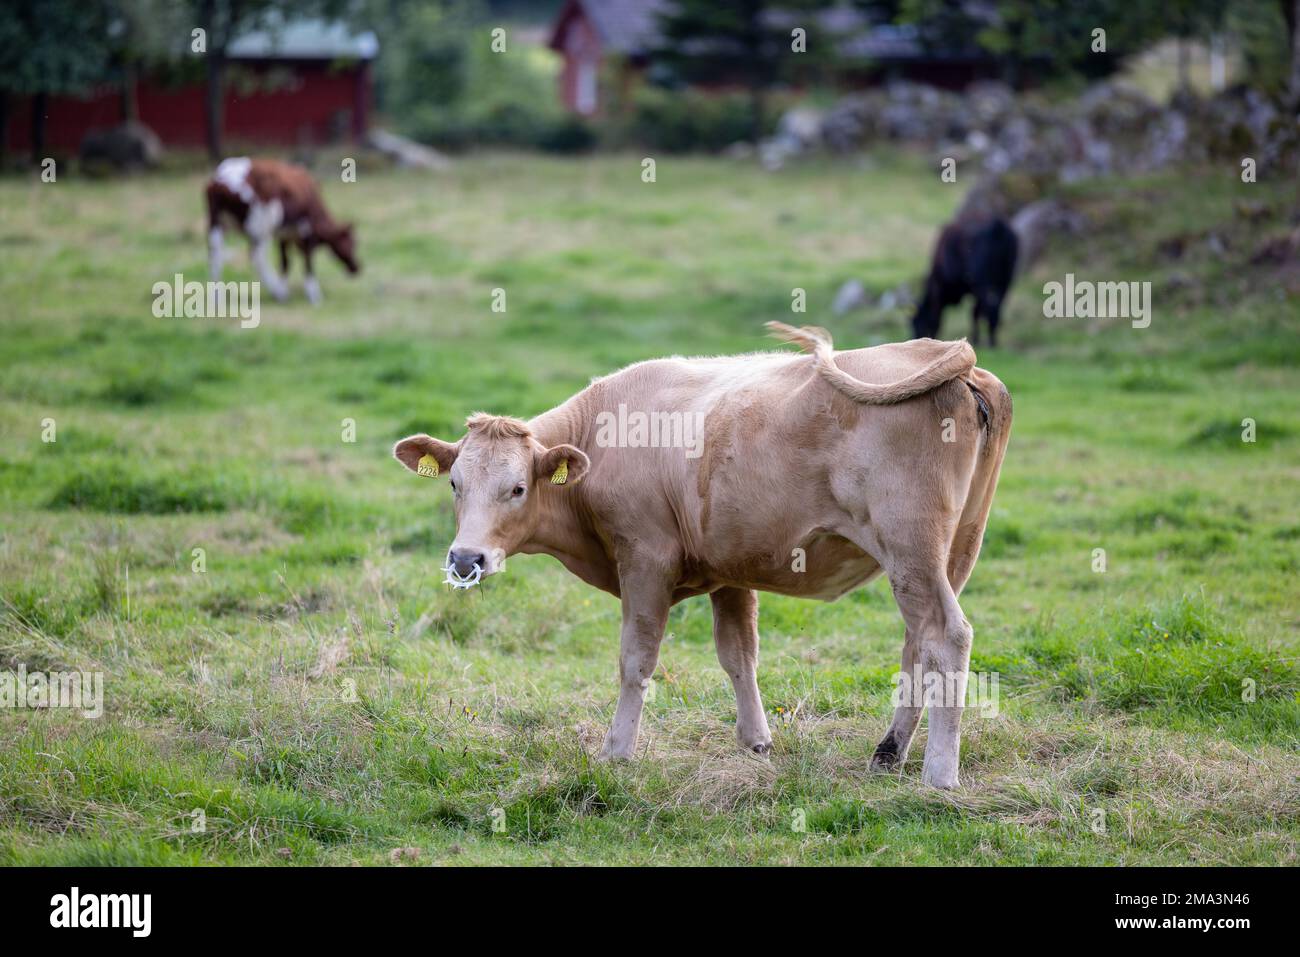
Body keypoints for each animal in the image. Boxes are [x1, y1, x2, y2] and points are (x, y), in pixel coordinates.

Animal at [205, 157, 359, 304]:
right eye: (352, 243)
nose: (357, 267)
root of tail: (219, 181)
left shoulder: (284, 234)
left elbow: (285, 262)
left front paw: (285, 286)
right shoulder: (306, 231)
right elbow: (308, 261)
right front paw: (314, 294)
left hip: (217, 223)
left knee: (215, 254)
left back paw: (217, 297)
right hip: (261, 227)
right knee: (257, 258)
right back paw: (278, 292)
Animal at [393, 323, 1011, 788]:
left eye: (518, 488)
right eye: (454, 484)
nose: (466, 559)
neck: (602, 433)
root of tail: (951, 359)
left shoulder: (645, 559)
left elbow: (637, 660)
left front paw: (616, 751)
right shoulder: (731, 568)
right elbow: (739, 655)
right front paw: (756, 741)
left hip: (911, 546)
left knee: (946, 636)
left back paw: (939, 775)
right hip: (952, 551)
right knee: (917, 643)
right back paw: (888, 752)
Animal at [912, 215, 1018, 348]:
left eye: (917, 323)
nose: (914, 339)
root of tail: (998, 226)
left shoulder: (940, 290)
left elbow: (938, 318)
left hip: (984, 284)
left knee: (989, 310)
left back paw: (988, 343)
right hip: (1005, 283)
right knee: (995, 309)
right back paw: (993, 342)